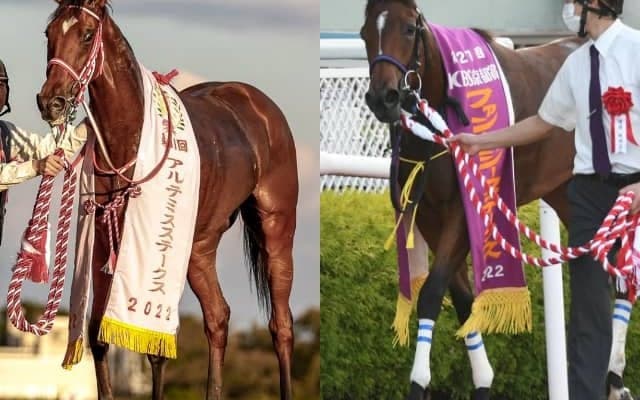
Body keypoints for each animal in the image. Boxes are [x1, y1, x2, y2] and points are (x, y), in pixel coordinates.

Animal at [36, 1, 298, 399]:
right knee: (218, 317)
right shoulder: (103, 240)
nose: (51, 101)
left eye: (86, 34)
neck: (131, 139)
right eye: (49, 34)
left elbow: (155, 347)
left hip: (275, 227)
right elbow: (98, 335)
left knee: (280, 324)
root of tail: (260, 105)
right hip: (199, 247)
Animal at [361, 1, 584, 399]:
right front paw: (483, 378)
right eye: (365, 33)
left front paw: (419, 381)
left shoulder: (464, 213)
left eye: (408, 28)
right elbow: (463, 299)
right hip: (564, 192)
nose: (382, 98)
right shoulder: (428, 216)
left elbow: (432, 292)